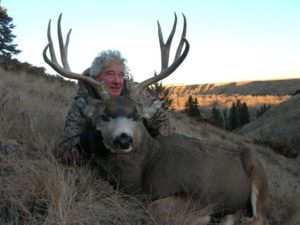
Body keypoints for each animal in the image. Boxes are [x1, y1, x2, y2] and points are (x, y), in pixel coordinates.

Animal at [42, 13, 270, 224]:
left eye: (135, 115)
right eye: (104, 116)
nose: (124, 139)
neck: (137, 177)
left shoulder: (200, 197)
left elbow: (154, 208)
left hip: (259, 177)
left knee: (259, 218)